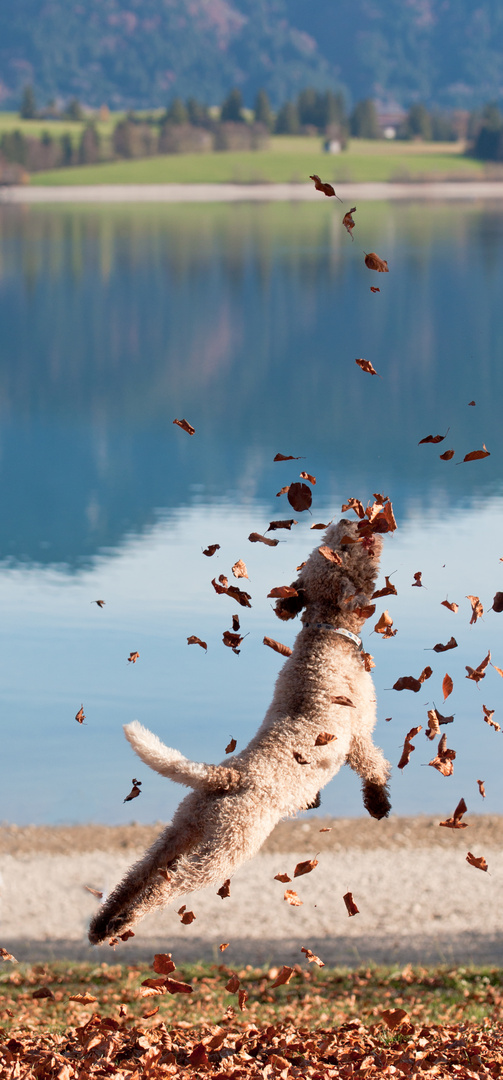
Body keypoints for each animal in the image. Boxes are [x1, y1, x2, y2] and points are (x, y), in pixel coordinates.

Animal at [88, 520, 390, 946]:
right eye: (345, 550)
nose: (349, 521)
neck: (324, 637)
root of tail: (227, 776)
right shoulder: (360, 731)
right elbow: (373, 766)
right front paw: (379, 804)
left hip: (182, 830)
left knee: (138, 874)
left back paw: (103, 924)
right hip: (227, 849)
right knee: (168, 885)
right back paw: (121, 923)